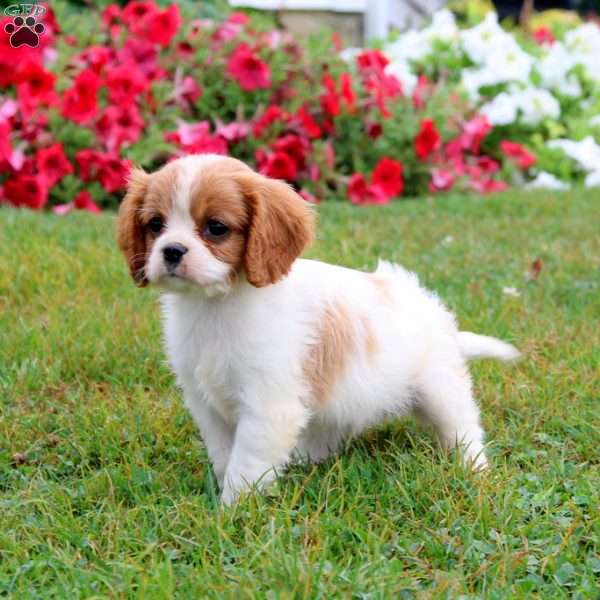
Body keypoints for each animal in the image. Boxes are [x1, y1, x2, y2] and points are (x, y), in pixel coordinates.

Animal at [118, 155, 520, 506]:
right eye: (155, 225)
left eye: (216, 228)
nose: (171, 251)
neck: (215, 306)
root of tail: (437, 316)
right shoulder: (206, 404)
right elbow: (223, 454)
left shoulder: (267, 406)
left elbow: (244, 464)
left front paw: (231, 512)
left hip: (440, 390)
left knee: (464, 430)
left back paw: (476, 471)